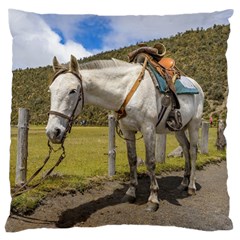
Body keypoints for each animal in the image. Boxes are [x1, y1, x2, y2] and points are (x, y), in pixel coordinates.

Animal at [46, 54, 204, 212]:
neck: (127, 90)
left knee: (193, 151)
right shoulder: (128, 131)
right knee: (186, 149)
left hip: (194, 125)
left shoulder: (148, 129)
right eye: (50, 90)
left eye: (72, 90)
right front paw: (131, 192)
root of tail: (197, 86)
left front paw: (153, 198)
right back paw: (183, 183)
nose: (53, 132)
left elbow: (150, 162)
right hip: (179, 129)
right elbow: (132, 159)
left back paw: (191, 186)